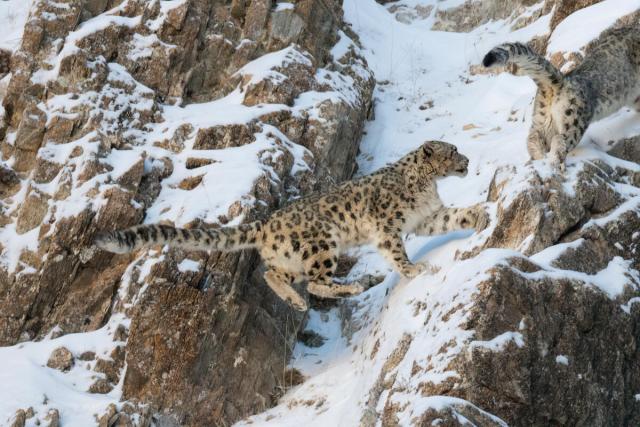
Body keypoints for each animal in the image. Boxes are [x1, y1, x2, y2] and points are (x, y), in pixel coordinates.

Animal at [95, 141, 489, 311]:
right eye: (452, 151)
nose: (469, 160)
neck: (426, 185)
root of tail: (267, 222)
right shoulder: (386, 225)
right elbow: (395, 252)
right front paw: (415, 269)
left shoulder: (427, 216)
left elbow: (453, 217)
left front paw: (480, 216)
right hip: (322, 244)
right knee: (316, 282)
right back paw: (351, 286)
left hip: (291, 257)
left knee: (274, 274)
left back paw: (295, 301)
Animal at [482, 26, 640, 170]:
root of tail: (561, 81)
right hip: (574, 120)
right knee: (560, 139)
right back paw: (556, 163)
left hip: (542, 121)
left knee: (532, 138)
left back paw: (539, 158)